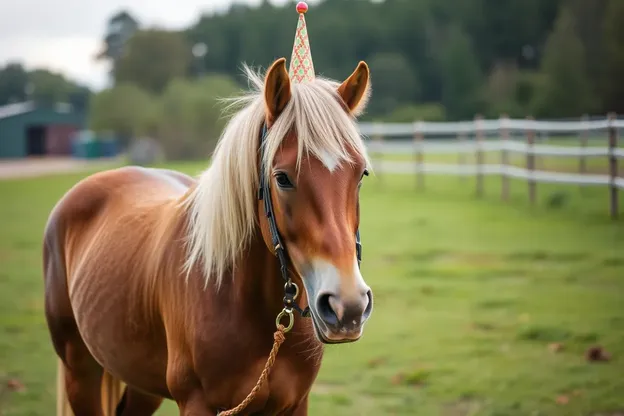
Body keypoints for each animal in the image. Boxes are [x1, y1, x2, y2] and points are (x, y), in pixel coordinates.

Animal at [45, 58, 376, 416]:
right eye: (282, 178)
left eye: (361, 175)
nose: (348, 307)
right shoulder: (196, 404)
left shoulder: (296, 404)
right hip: (80, 372)